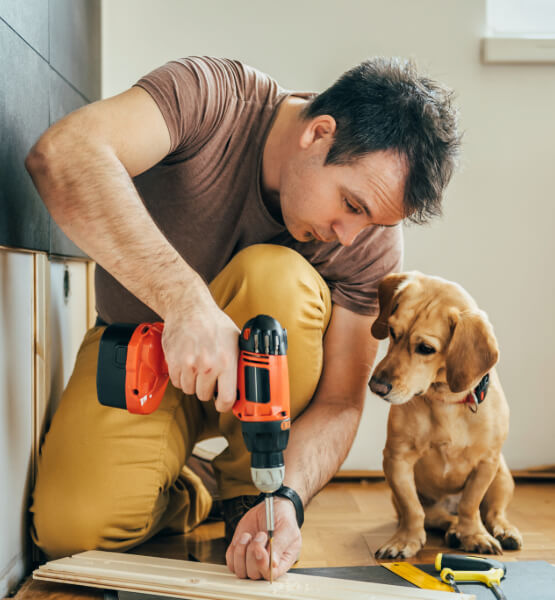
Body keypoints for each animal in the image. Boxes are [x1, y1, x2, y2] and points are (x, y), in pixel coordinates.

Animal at [372, 272, 524, 556]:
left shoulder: (486, 463)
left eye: (426, 348)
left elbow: (470, 505)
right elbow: (412, 510)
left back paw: (502, 530)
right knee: (437, 516)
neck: (446, 402)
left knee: (494, 512)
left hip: (502, 476)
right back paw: (453, 530)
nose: (376, 386)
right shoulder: (397, 460)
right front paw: (405, 540)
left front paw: (475, 535)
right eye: (392, 332)